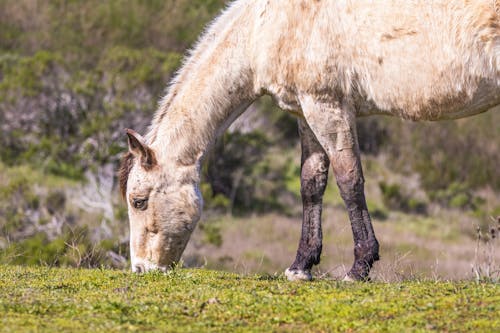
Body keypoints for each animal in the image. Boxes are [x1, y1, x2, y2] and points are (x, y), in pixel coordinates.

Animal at [118, 0, 500, 280]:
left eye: (138, 201)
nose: (141, 268)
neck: (265, 27)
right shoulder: (305, 112)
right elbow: (311, 184)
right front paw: (301, 266)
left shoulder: (327, 106)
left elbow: (349, 181)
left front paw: (359, 268)